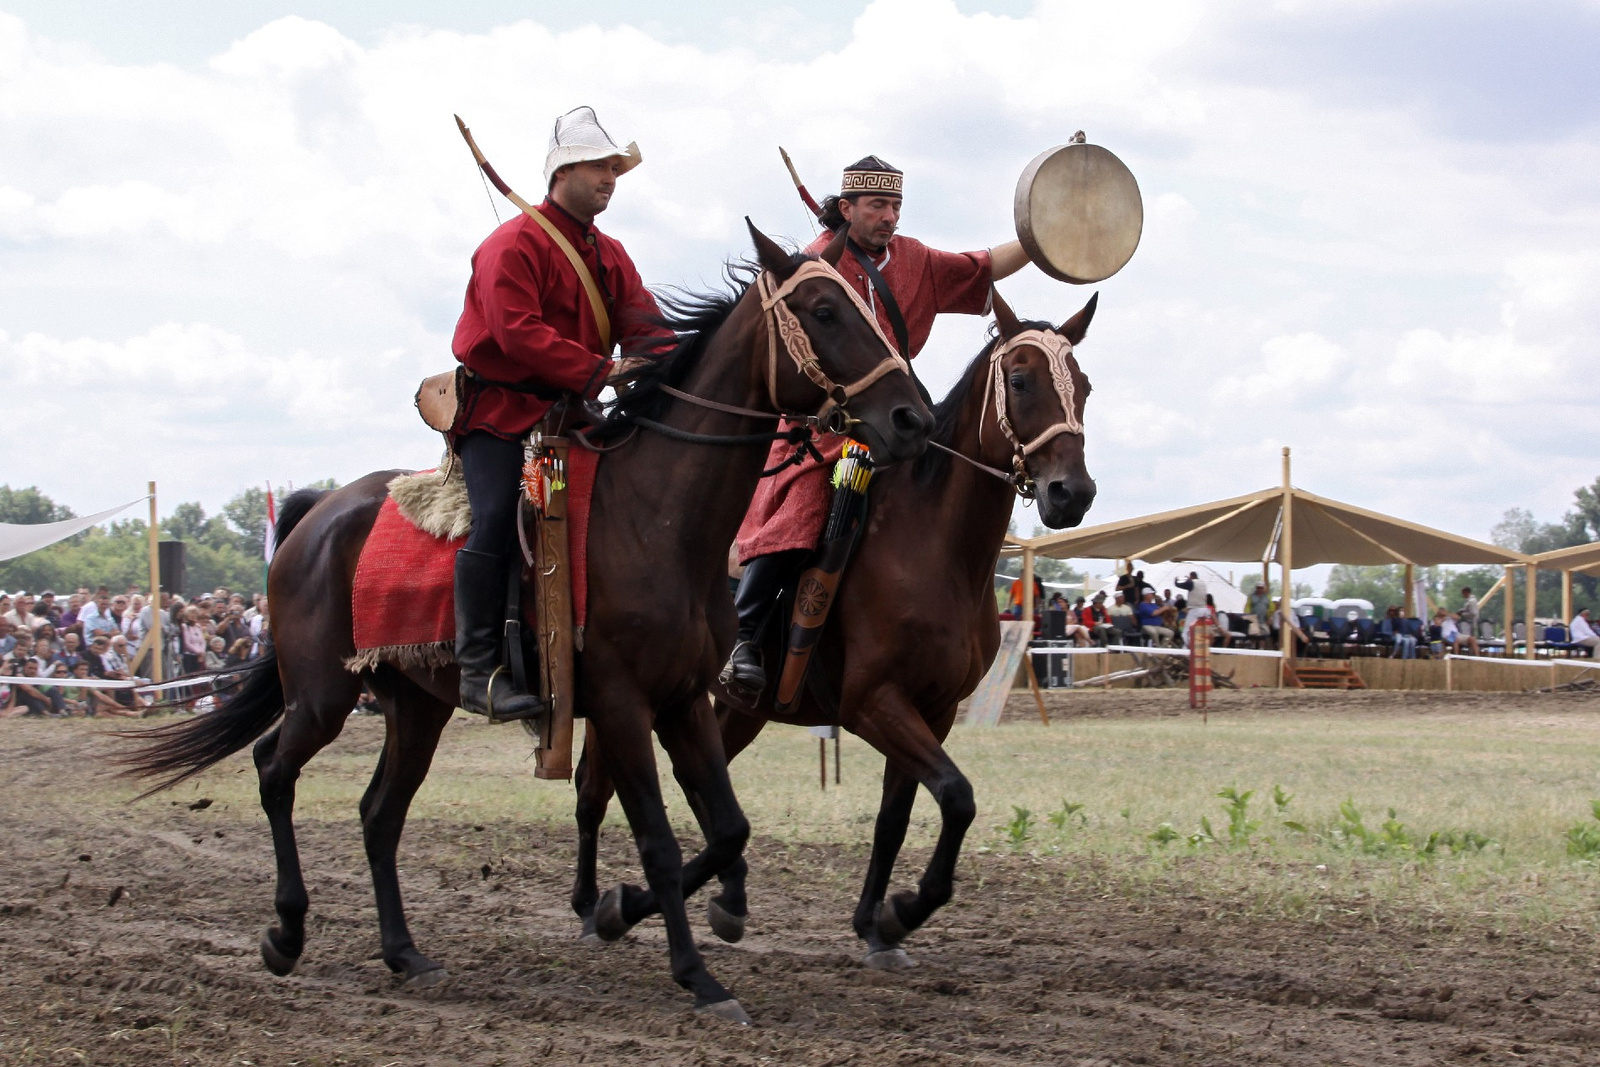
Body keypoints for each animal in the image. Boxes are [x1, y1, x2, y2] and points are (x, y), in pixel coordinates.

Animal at [118, 223, 934, 1017]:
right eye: (824, 311)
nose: (911, 418)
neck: (654, 514)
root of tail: (316, 513)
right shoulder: (622, 704)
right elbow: (660, 841)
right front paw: (695, 976)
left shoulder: (683, 699)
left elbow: (728, 827)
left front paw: (623, 911)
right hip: (320, 693)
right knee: (273, 770)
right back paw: (286, 931)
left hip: (414, 703)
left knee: (379, 813)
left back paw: (404, 952)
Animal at [566, 289, 1100, 966]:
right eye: (1021, 379)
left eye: (1083, 385)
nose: (1071, 493)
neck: (935, 548)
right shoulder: (873, 703)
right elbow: (957, 796)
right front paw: (901, 912)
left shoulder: (933, 710)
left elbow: (898, 817)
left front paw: (877, 923)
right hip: (634, 698)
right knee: (594, 788)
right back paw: (596, 906)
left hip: (734, 708)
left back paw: (719, 899)